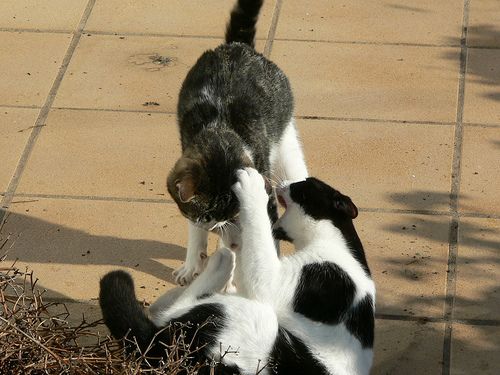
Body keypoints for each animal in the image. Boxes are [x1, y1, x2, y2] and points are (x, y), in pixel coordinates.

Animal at [99, 170, 376, 375]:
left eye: (303, 185)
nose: (285, 182)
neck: (338, 246)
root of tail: (158, 344)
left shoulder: (284, 281)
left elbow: (259, 233)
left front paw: (252, 185)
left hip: (256, 318)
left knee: (174, 311)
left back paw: (221, 262)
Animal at [168, 0, 308, 284]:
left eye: (228, 213)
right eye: (207, 215)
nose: (215, 226)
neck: (220, 132)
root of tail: (238, 46)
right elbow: (194, 228)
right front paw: (193, 263)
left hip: (287, 147)